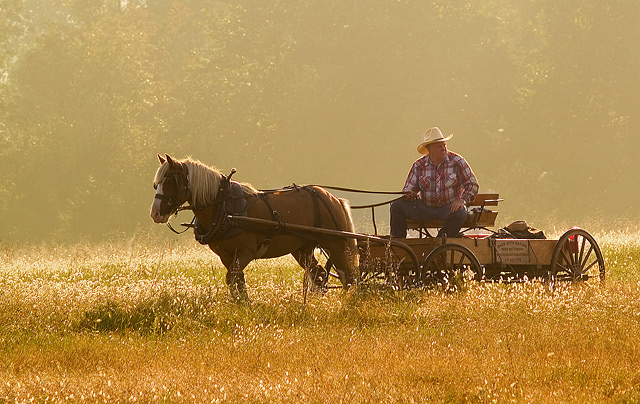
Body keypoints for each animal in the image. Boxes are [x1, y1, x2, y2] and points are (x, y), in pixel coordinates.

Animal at [151, 154, 360, 300]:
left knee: (349, 278)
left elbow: (232, 278)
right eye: (156, 184)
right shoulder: (226, 256)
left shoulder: (246, 252)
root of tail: (332, 198)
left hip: (335, 245)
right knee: (319, 275)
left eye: (170, 181)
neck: (224, 205)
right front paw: (242, 305)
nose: (155, 213)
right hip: (302, 249)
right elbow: (237, 281)